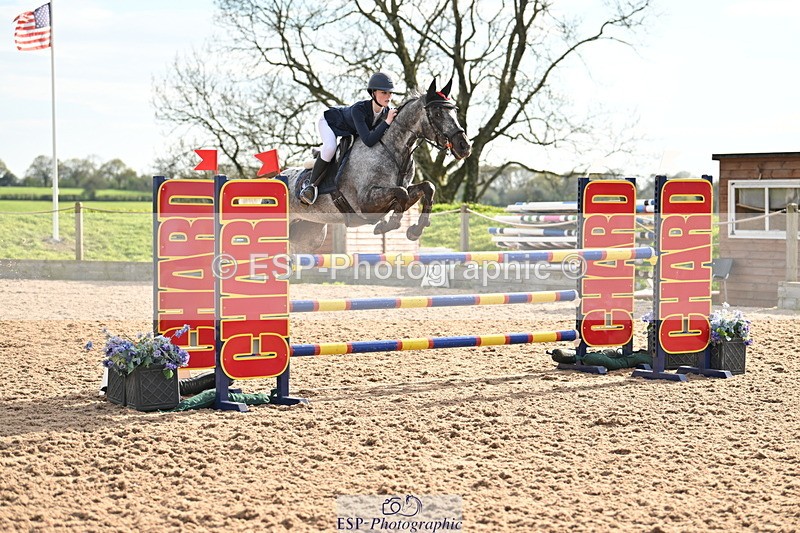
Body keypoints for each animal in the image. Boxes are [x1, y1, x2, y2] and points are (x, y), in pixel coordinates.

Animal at [281, 79, 472, 253]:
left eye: (454, 111)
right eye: (437, 113)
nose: (464, 146)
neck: (394, 152)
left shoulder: (401, 189)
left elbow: (427, 187)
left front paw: (415, 230)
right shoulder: (365, 201)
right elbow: (401, 194)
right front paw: (388, 224)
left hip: (309, 235)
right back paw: (308, 192)